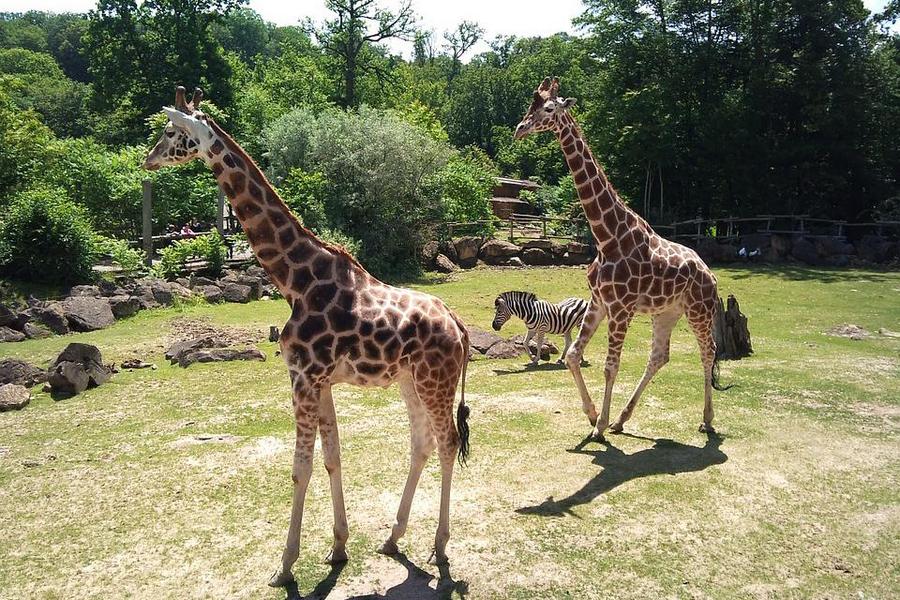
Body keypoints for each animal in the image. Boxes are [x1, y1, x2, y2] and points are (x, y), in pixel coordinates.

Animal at [142, 86, 472, 588]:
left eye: (169, 132)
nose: (147, 160)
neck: (293, 280)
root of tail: (459, 325)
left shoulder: (302, 376)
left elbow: (300, 468)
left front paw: (285, 565)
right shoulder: (322, 381)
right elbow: (333, 457)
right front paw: (338, 547)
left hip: (437, 381)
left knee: (449, 442)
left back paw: (439, 545)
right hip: (409, 380)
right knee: (423, 443)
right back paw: (393, 537)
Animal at [512, 76, 732, 440]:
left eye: (549, 108)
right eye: (530, 106)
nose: (520, 129)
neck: (607, 237)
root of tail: (711, 274)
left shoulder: (621, 308)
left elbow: (610, 366)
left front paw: (598, 427)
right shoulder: (599, 301)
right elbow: (573, 356)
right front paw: (592, 417)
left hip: (698, 310)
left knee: (708, 351)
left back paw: (707, 419)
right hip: (667, 312)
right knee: (659, 356)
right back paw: (621, 419)